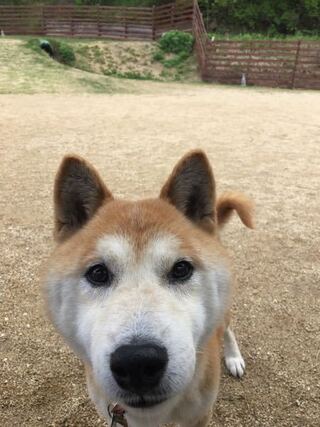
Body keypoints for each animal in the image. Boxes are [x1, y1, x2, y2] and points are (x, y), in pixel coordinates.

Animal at [43, 150, 254, 427]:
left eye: (181, 269)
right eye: (98, 273)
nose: (137, 362)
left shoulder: (199, 416)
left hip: (224, 313)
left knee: (226, 329)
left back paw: (233, 357)